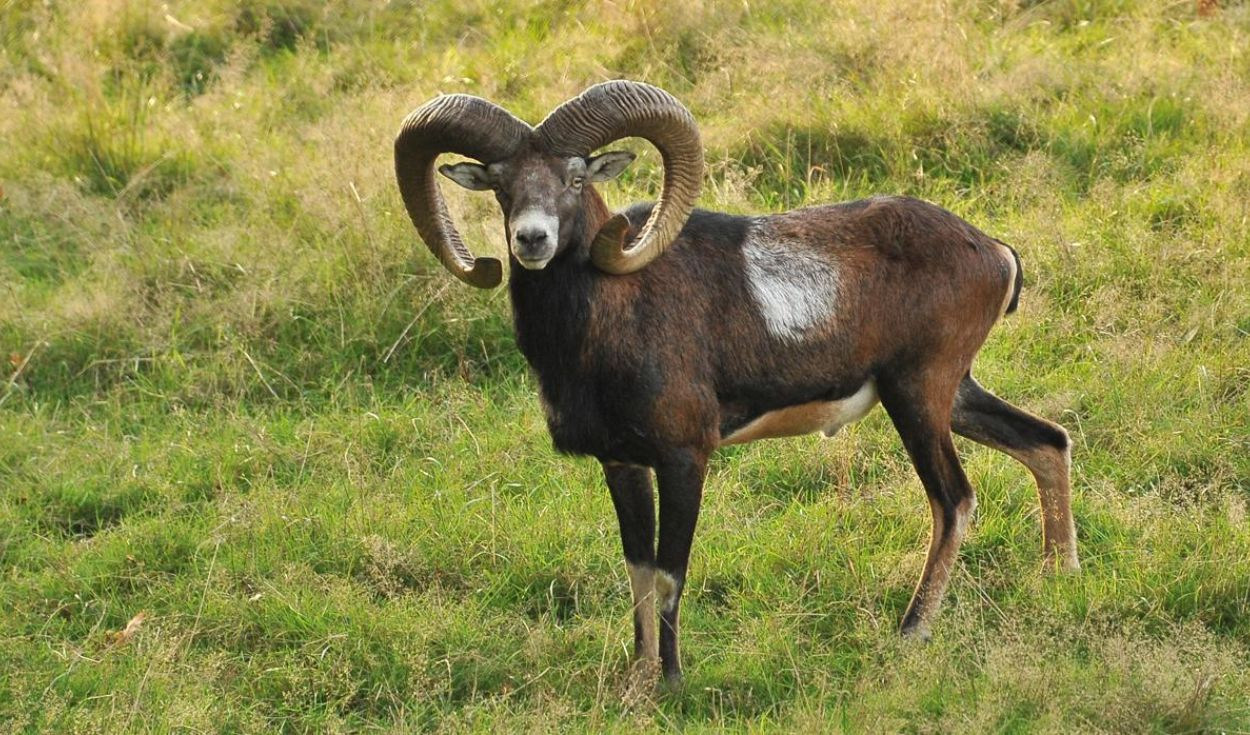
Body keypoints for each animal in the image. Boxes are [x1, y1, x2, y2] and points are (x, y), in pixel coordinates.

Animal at [394, 80, 1079, 686]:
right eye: (501, 185)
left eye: (574, 178)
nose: (531, 239)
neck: (610, 317)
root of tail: (995, 252)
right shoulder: (623, 465)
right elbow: (638, 574)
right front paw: (635, 681)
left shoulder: (684, 459)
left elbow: (670, 573)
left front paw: (671, 684)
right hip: (951, 396)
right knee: (1047, 442)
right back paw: (1058, 579)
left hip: (918, 398)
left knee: (954, 500)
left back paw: (911, 632)